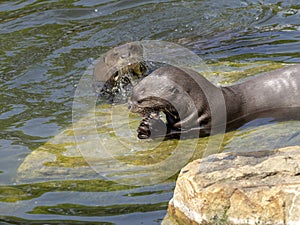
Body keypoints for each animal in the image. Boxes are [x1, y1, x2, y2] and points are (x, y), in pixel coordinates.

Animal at [129, 64, 300, 139]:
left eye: (141, 100)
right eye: (131, 93)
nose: (129, 105)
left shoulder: (207, 122)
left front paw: (152, 127)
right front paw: (144, 127)